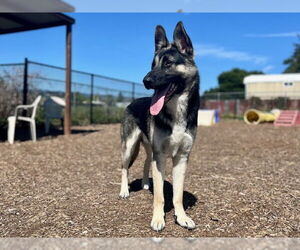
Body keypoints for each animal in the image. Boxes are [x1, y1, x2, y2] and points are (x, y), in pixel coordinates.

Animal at [119, 22, 199, 232]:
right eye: (152, 65)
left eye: (168, 63)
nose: (145, 81)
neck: (176, 111)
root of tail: (132, 102)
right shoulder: (161, 156)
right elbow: (160, 196)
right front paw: (157, 219)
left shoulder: (181, 158)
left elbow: (177, 195)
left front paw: (182, 217)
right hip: (129, 147)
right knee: (123, 168)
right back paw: (124, 190)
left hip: (149, 149)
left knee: (146, 162)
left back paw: (147, 184)